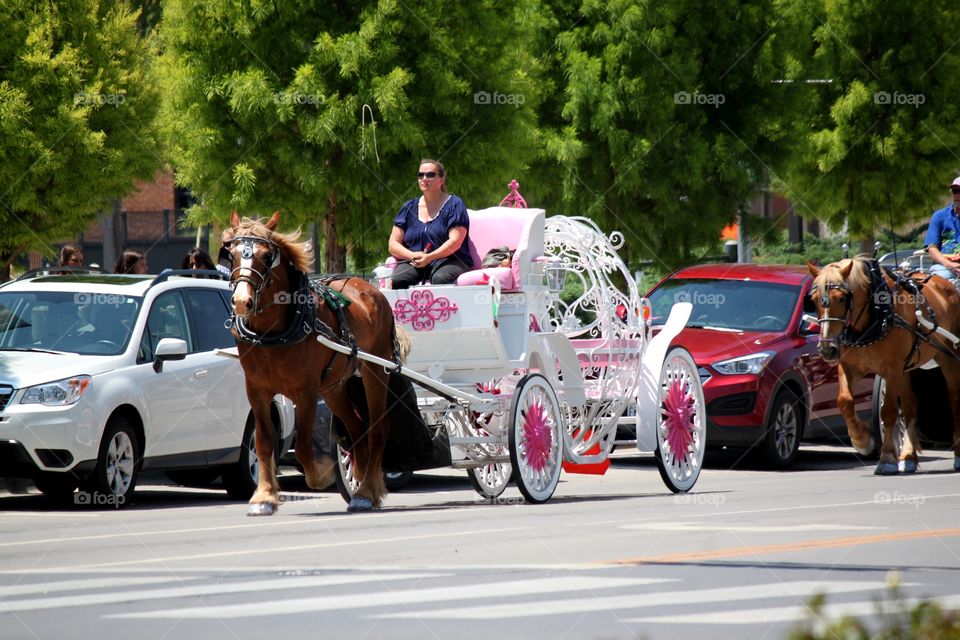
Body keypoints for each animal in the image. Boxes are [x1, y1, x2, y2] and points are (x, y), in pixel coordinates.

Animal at [227, 212, 396, 512]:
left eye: (266, 256)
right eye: (231, 254)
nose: (242, 302)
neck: (273, 334)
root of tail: (369, 288)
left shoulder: (305, 392)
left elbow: (305, 446)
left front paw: (321, 475)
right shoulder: (256, 391)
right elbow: (264, 442)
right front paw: (264, 496)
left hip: (376, 369)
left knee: (377, 428)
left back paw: (366, 490)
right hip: (333, 387)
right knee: (357, 427)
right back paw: (362, 485)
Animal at [808, 256, 960, 476]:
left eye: (842, 298)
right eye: (813, 299)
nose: (827, 349)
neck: (875, 316)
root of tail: (946, 284)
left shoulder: (892, 370)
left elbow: (888, 412)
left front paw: (887, 459)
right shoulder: (848, 367)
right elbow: (844, 402)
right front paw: (862, 440)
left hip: (948, 358)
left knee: (954, 401)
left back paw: (957, 455)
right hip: (907, 368)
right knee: (910, 406)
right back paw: (908, 457)